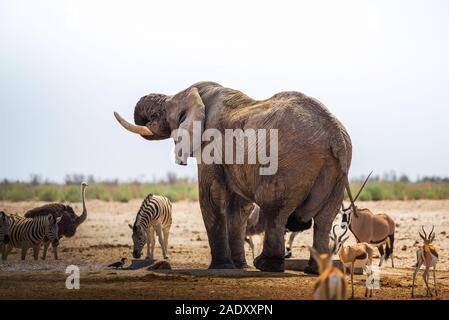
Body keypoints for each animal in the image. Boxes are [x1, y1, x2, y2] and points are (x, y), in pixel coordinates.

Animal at [114, 80, 356, 272]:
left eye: (159, 113)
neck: (197, 94)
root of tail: (336, 134)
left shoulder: (210, 142)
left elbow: (211, 197)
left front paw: (221, 267)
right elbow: (239, 207)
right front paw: (238, 266)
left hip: (291, 163)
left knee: (275, 209)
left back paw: (266, 265)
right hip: (338, 172)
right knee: (324, 218)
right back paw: (314, 270)